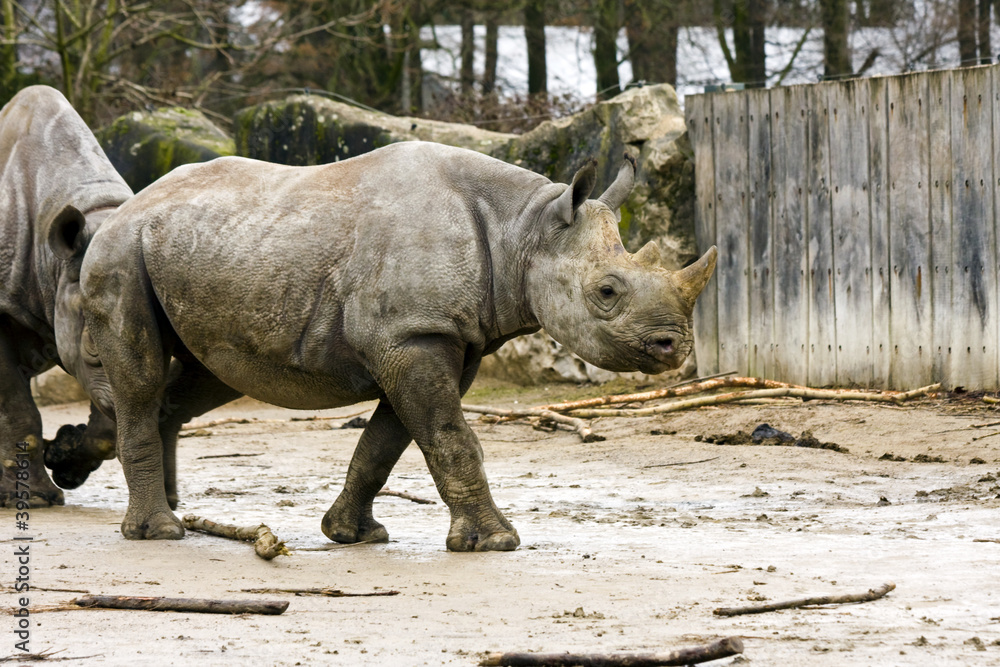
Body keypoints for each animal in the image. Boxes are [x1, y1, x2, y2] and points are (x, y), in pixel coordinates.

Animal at [70, 141, 716, 551]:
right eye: (607, 292)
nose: (674, 348)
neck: (524, 230)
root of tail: (124, 208)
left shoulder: (439, 338)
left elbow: (388, 442)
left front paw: (351, 535)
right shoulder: (413, 334)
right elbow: (449, 436)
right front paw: (497, 542)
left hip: (206, 253)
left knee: (206, 374)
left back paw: (154, 504)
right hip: (120, 256)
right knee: (140, 373)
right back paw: (160, 532)